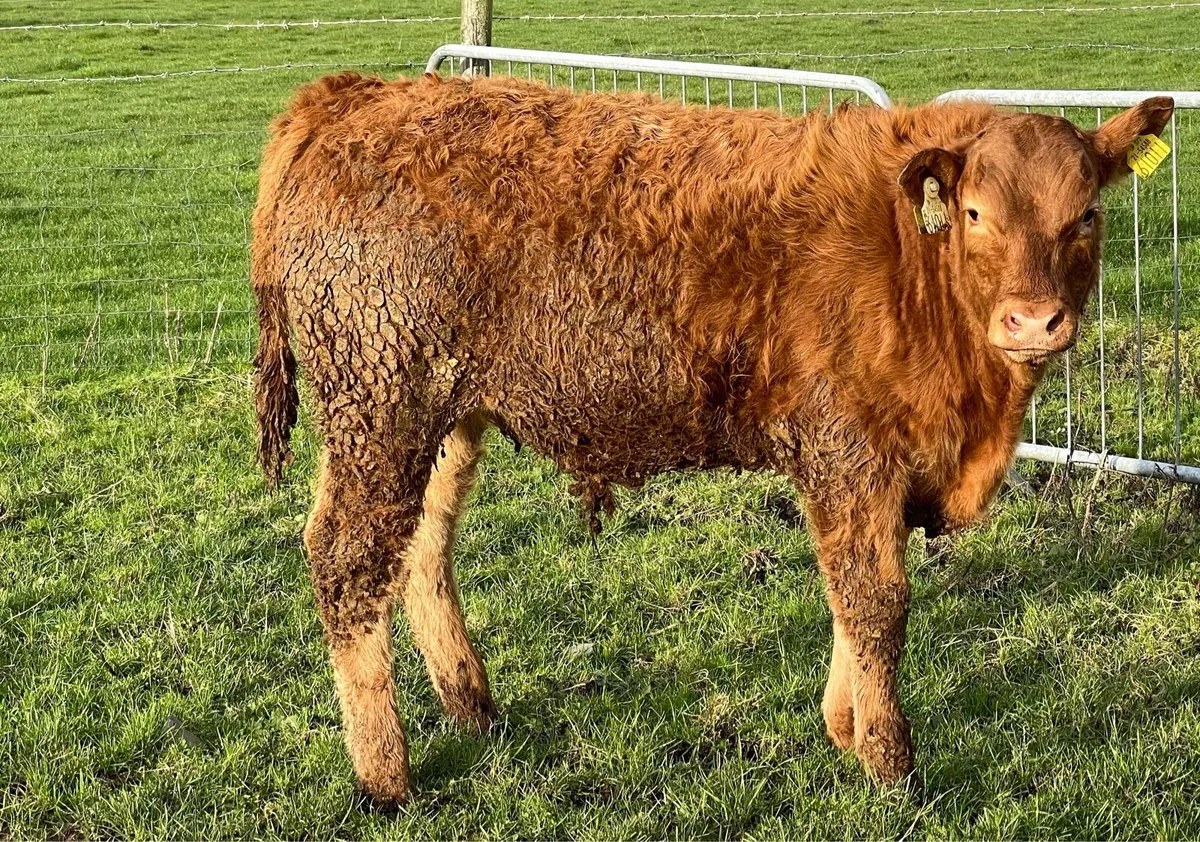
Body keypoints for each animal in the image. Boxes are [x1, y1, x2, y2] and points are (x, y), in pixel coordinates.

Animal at [250, 70, 1173, 803]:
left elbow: (853, 596)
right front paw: (889, 761)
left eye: (1087, 215)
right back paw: (385, 773)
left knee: (422, 547)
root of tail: (357, 95)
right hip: (381, 404)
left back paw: (472, 706)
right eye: (976, 212)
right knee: (345, 561)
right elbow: (875, 601)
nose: (1034, 320)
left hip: (443, 416)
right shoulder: (848, 453)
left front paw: (842, 724)